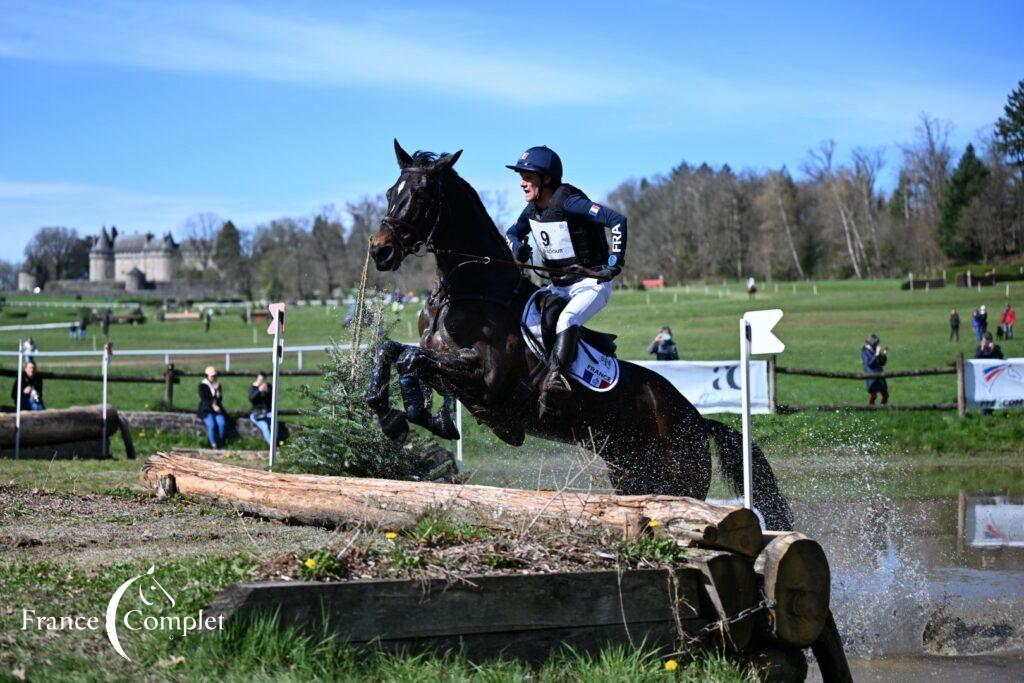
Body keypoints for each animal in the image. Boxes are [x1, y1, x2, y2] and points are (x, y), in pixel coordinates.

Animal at [366, 141, 790, 532]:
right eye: (389, 192)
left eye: (421, 195)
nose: (380, 251)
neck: (471, 288)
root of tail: (699, 420)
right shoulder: (447, 365)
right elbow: (393, 352)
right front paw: (394, 416)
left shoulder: (487, 382)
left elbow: (411, 359)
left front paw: (411, 416)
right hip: (632, 474)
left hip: (682, 477)